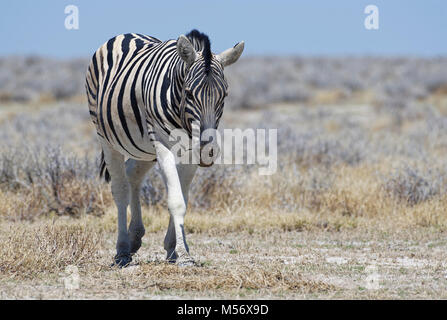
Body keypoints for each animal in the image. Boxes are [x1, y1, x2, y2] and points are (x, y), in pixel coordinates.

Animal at [85, 30, 245, 266]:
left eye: (224, 95)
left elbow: (183, 198)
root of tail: (126, 34)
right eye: (189, 93)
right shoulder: (162, 145)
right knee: (120, 188)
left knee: (133, 174)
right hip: (106, 137)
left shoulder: (190, 152)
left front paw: (174, 248)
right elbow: (176, 200)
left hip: (144, 148)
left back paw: (134, 237)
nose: (208, 152)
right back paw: (122, 250)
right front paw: (184, 255)